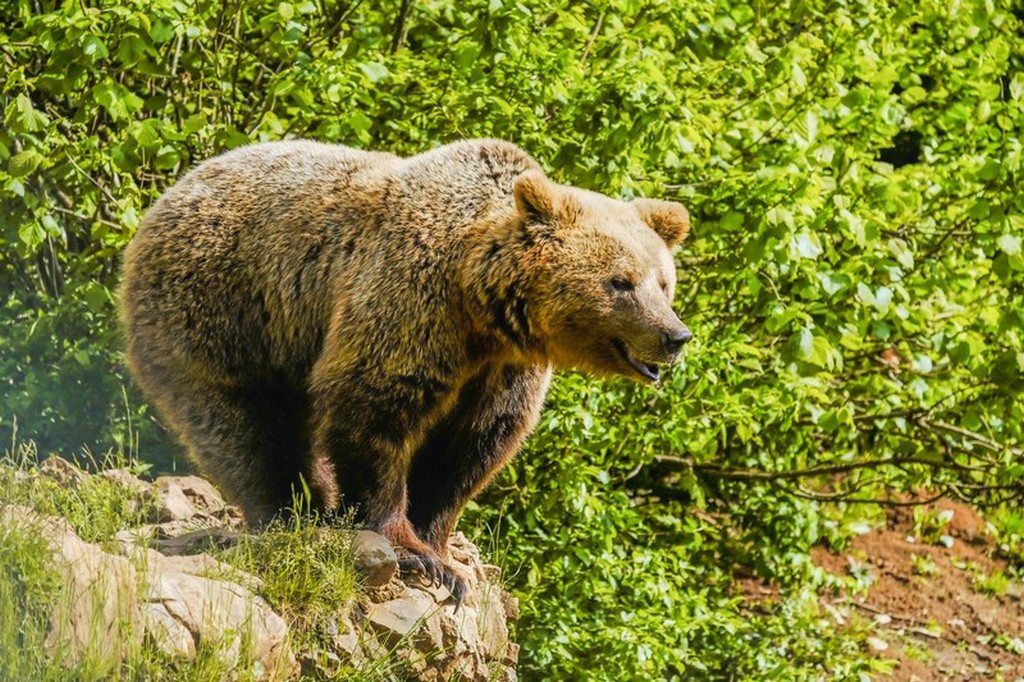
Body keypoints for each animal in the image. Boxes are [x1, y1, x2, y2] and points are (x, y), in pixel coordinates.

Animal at [121, 138, 696, 593]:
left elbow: (474, 445)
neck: (479, 305)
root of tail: (168, 196)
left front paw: (439, 546)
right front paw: (414, 552)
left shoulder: (503, 369)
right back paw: (292, 511)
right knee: (242, 424)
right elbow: (374, 411)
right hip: (223, 311)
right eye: (620, 282)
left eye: (663, 282)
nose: (675, 336)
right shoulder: (409, 301)